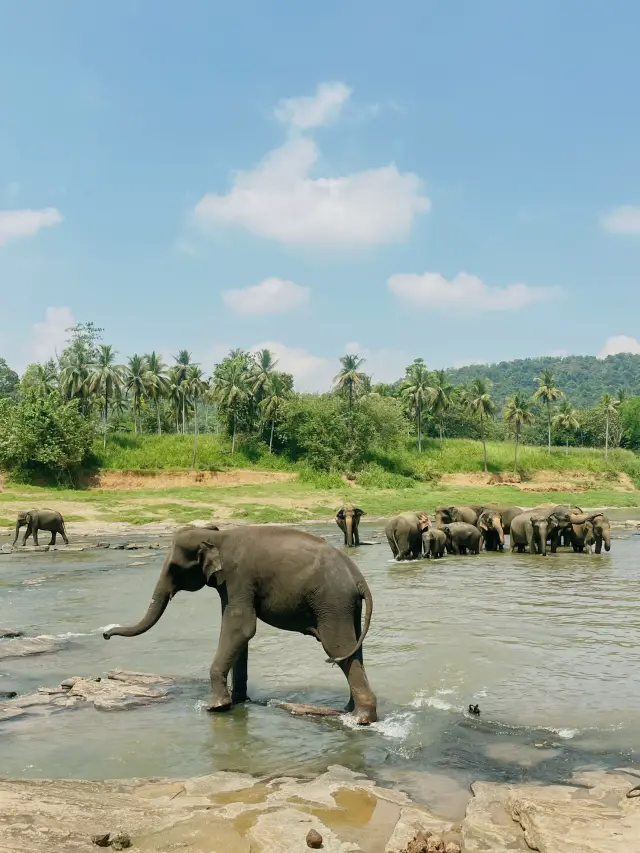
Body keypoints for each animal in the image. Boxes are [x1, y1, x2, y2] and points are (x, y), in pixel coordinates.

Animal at [103, 525, 378, 725]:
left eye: (173, 568)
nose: (105, 634)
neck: (217, 535)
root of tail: (358, 578)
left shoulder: (238, 577)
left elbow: (241, 627)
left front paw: (216, 707)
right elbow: (240, 635)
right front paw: (238, 701)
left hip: (332, 602)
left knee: (337, 648)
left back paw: (359, 719)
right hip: (346, 607)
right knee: (353, 649)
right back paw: (348, 711)